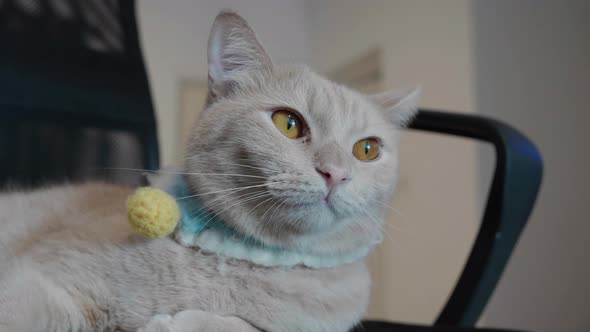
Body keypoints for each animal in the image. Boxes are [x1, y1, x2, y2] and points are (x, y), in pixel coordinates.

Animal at [0, 10, 420, 332]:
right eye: (288, 124)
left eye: (367, 149)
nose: (335, 173)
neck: (250, 262)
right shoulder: (39, 280)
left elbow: (245, 327)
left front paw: (180, 322)